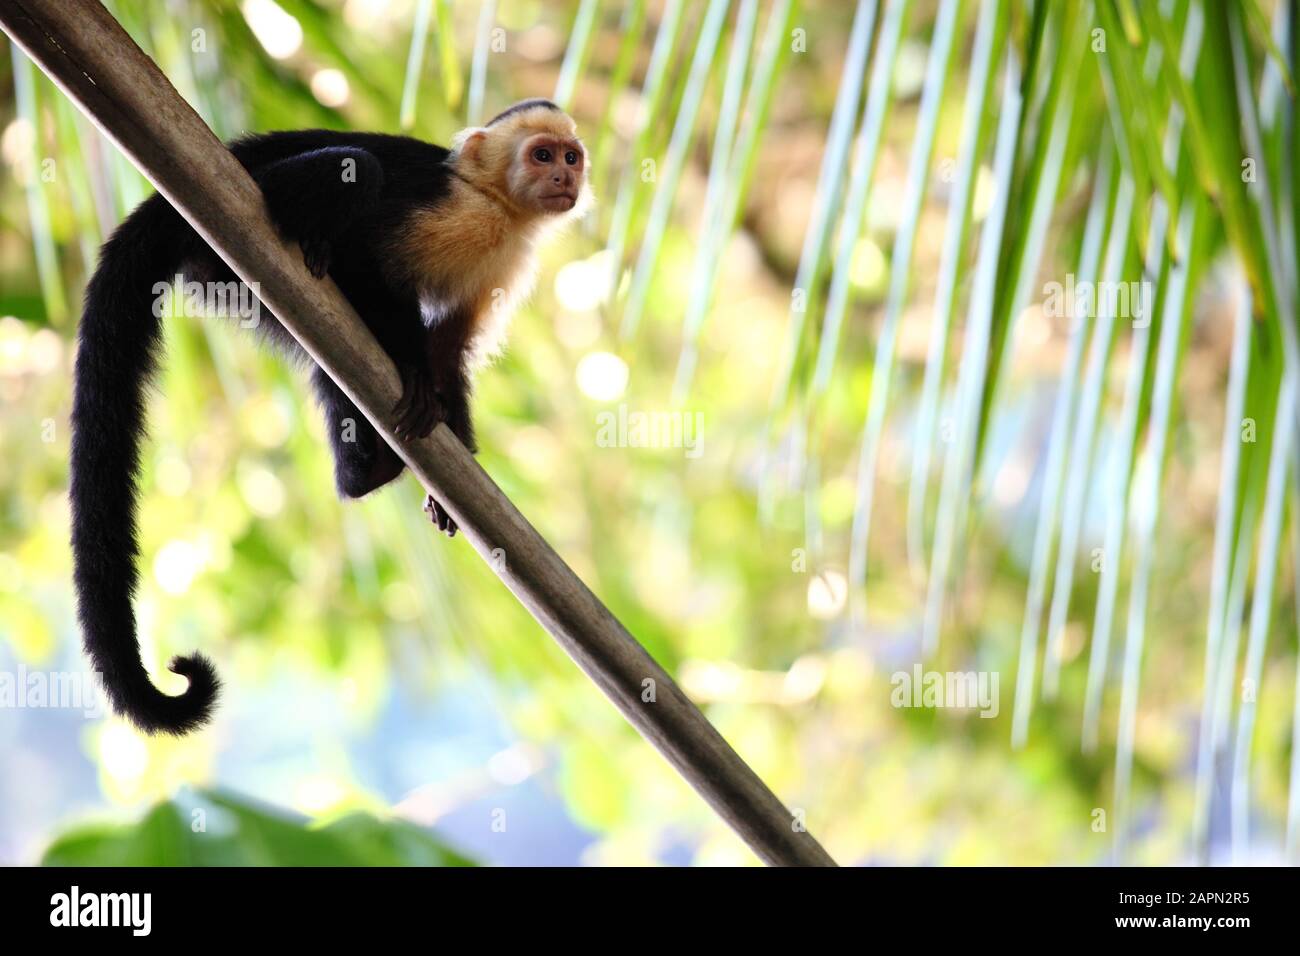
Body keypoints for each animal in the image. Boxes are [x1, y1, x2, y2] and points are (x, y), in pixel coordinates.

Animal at [73, 98, 592, 733]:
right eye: (541, 155)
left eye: (570, 157)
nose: (564, 177)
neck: (496, 204)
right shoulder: (451, 210)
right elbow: (370, 259)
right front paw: (411, 369)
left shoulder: (505, 261)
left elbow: (451, 351)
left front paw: (450, 468)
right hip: (227, 242)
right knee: (357, 175)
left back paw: (364, 473)